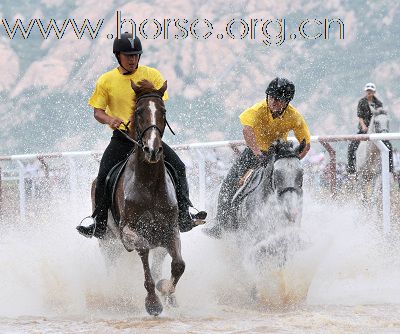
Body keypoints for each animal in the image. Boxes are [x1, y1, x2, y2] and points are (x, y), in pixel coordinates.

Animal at [97, 79, 184, 316]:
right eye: (138, 111)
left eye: (163, 111)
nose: (152, 150)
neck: (149, 184)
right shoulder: (128, 232)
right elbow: (143, 250)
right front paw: (152, 303)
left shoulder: (170, 230)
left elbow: (178, 265)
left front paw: (165, 289)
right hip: (107, 243)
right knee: (112, 266)